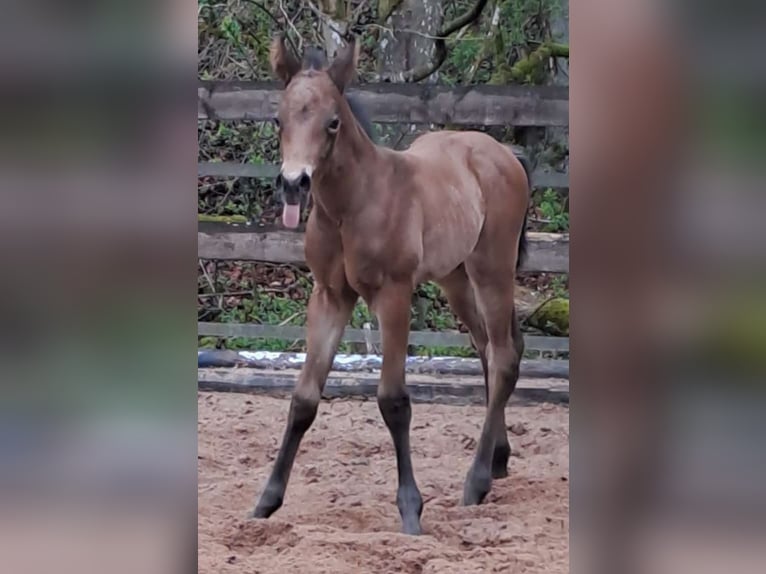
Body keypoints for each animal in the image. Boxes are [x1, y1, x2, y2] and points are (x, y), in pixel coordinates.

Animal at [251, 35, 530, 536]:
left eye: (333, 122)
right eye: (278, 119)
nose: (293, 184)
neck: (353, 205)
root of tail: (503, 153)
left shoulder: (394, 295)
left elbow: (394, 400)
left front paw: (410, 511)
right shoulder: (330, 296)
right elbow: (303, 398)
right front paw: (265, 501)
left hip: (492, 269)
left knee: (503, 357)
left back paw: (476, 481)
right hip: (455, 277)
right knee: (490, 348)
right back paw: (498, 459)